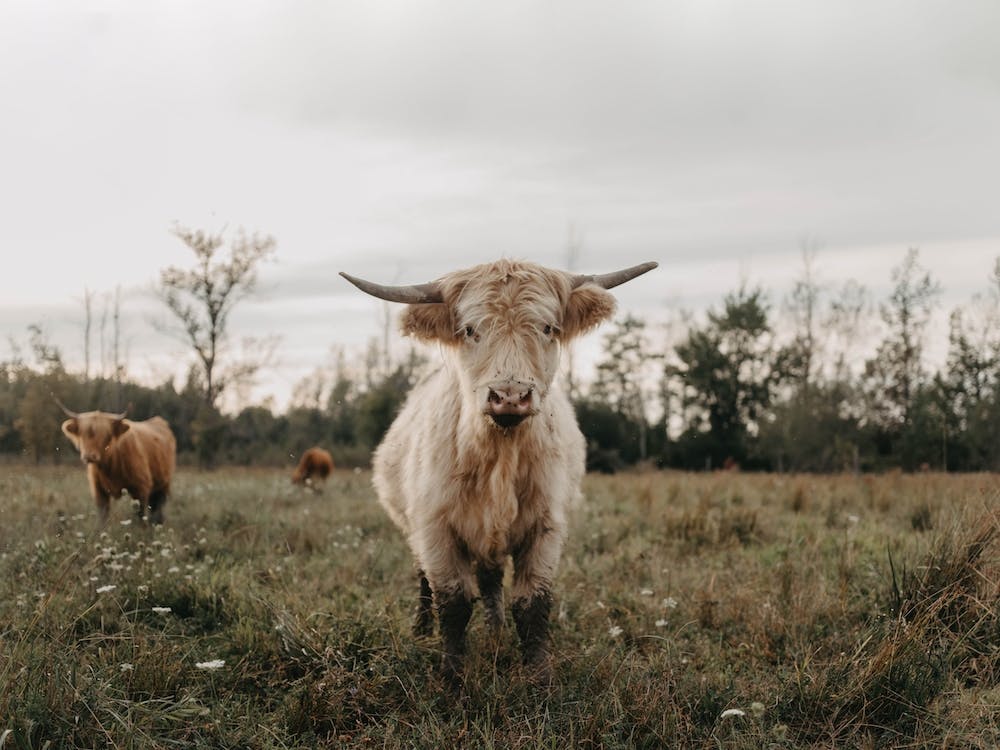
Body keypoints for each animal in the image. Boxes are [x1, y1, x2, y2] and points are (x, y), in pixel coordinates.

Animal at [341, 258, 656, 683]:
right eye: (470, 330)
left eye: (547, 328)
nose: (510, 396)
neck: (499, 455)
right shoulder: (435, 528)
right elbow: (453, 602)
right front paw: (452, 677)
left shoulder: (545, 526)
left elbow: (531, 604)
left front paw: (540, 677)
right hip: (416, 528)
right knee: (424, 578)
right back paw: (422, 629)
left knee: (490, 579)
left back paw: (495, 629)